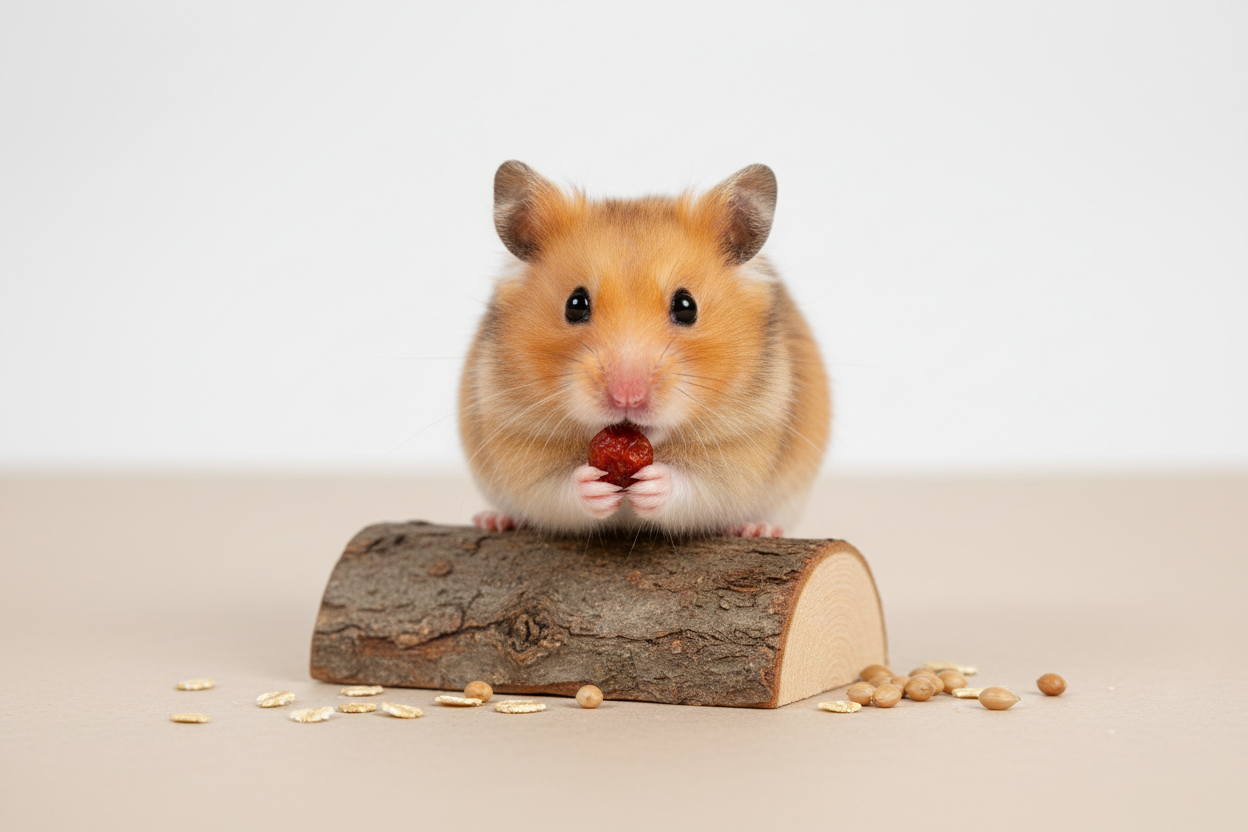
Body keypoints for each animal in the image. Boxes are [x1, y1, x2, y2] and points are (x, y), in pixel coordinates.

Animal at [458, 161, 830, 538]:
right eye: (575, 304)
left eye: (687, 306)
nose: (627, 398)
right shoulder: (512, 431)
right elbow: (557, 490)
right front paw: (593, 484)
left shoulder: (745, 438)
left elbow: (697, 487)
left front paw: (653, 482)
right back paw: (492, 520)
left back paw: (759, 529)